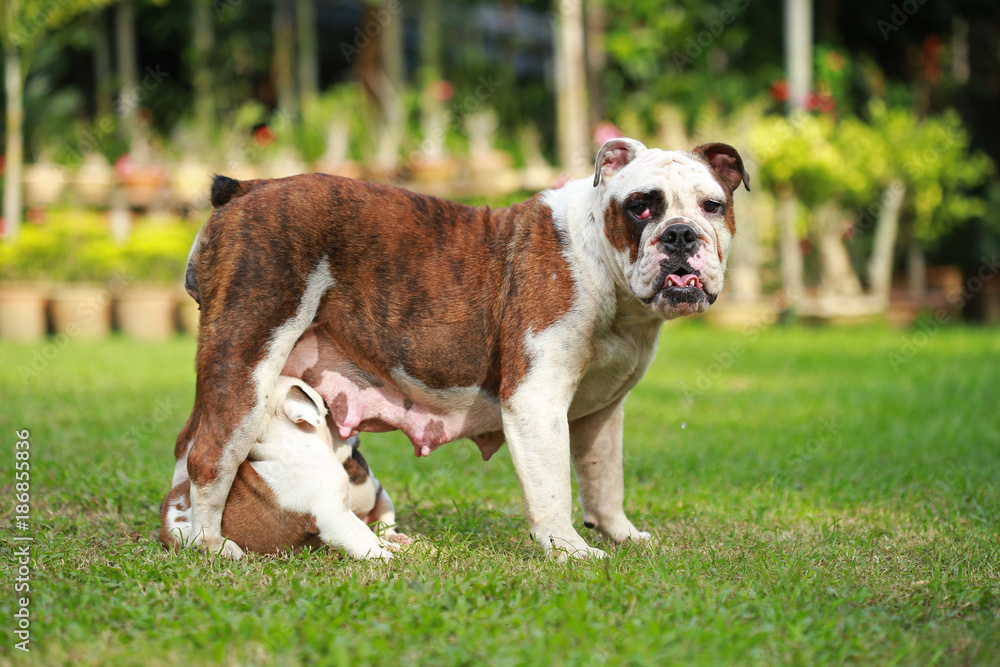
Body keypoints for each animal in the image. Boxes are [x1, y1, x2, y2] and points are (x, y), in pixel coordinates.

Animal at [160, 376, 406, 560]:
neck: (289, 442)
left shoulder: (344, 508)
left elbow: (364, 531)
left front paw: (387, 546)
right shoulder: (333, 517)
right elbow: (359, 541)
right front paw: (385, 557)